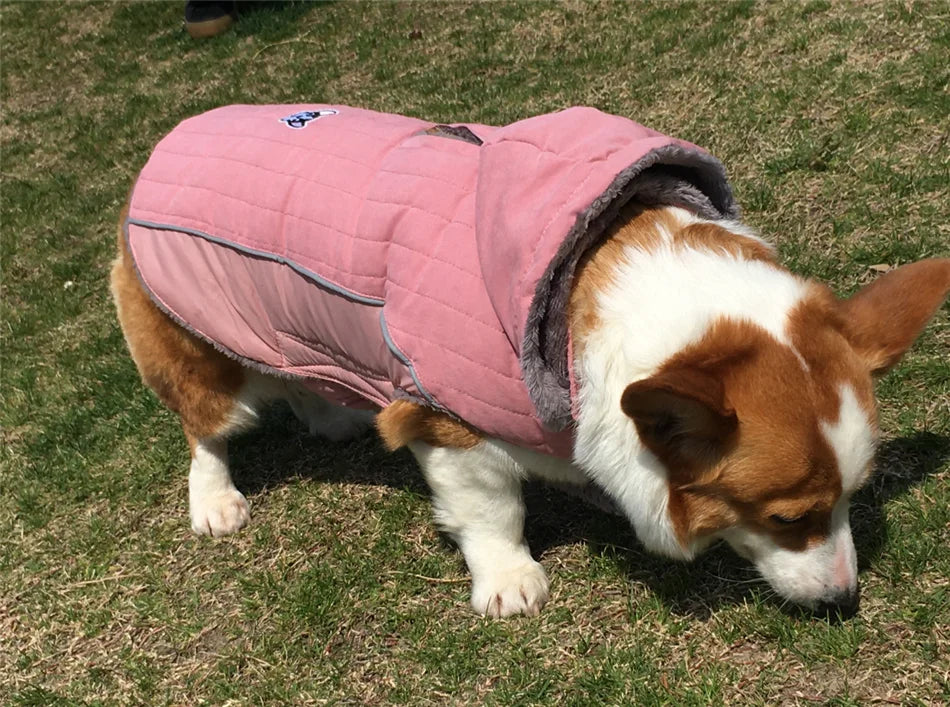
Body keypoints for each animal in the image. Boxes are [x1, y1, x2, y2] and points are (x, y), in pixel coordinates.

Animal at [113, 105, 950, 620]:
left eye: (852, 499)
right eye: (788, 518)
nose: (844, 602)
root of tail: (164, 145)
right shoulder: (447, 423)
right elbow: (490, 510)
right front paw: (508, 580)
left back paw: (329, 415)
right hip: (201, 355)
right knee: (205, 426)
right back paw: (214, 499)